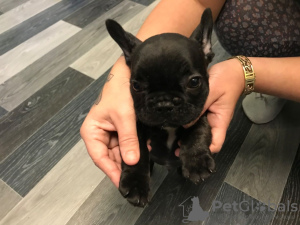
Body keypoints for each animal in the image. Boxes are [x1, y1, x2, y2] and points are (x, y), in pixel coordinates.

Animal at [105, 8, 216, 207]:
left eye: (194, 82)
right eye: (136, 86)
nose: (164, 104)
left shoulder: (199, 112)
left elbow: (198, 129)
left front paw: (196, 161)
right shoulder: (135, 128)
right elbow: (138, 151)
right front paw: (135, 184)